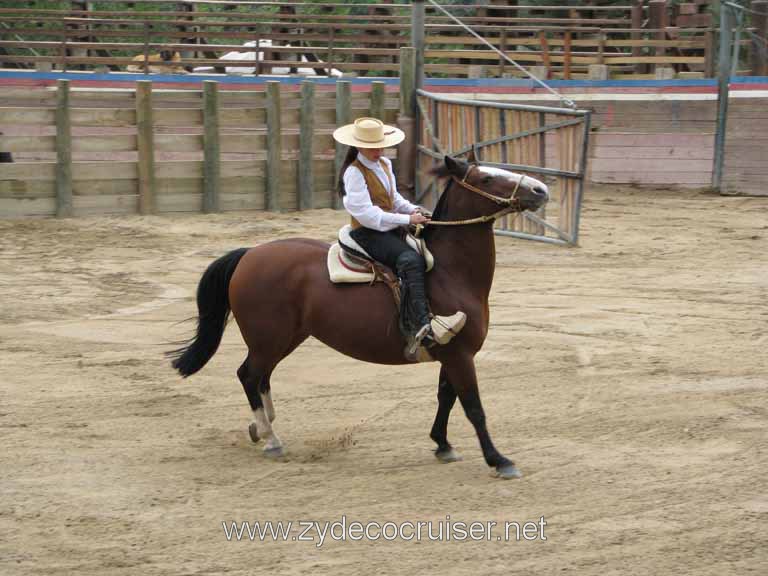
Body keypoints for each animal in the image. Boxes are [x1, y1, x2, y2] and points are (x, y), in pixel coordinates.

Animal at [170, 154, 548, 476]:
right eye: (486, 178)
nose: (540, 190)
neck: (448, 272)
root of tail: (249, 255)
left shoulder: (452, 354)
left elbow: (446, 398)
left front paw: (442, 444)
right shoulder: (460, 355)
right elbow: (472, 407)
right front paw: (499, 460)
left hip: (285, 339)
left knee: (260, 377)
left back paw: (261, 428)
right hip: (269, 340)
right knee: (248, 375)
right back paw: (271, 438)